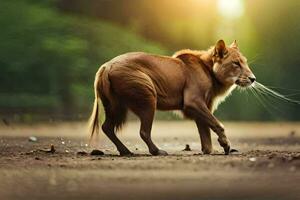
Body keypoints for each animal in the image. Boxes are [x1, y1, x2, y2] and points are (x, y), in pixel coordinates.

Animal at [88, 39, 255, 156]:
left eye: (245, 62)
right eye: (236, 63)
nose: (253, 79)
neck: (211, 73)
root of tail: (106, 66)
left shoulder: (202, 107)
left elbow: (206, 135)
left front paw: (210, 150)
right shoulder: (193, 101)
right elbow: (217, 124)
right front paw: (226, 145)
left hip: (116, 106)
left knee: (107, 127)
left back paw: (125, 151)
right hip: (148, 95)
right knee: (143, 131)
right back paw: (157, 151)